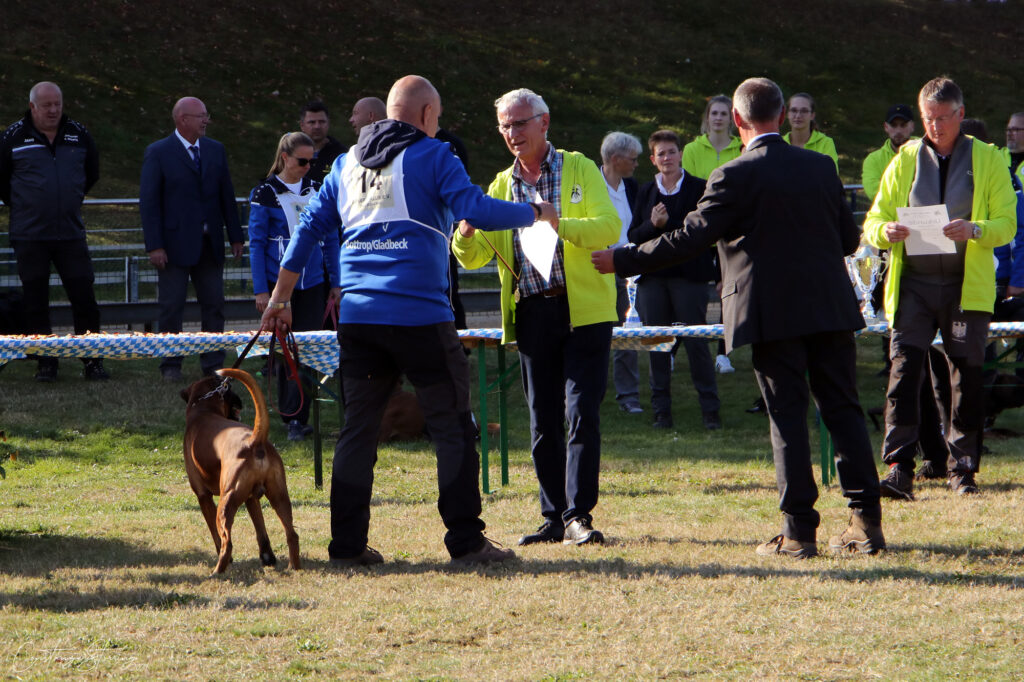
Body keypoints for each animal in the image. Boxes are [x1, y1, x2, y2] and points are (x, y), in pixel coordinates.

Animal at [181, 368, 301, 569]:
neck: (203, 410)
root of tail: (255, 440)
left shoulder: (203, 496)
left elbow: (215, 536)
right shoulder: (251, 498)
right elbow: (261, 530)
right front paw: (267, 557)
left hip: (226, 502)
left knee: (227, 541)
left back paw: (219, 570)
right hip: (279, 497)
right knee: (292, 534)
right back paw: (294, 568)